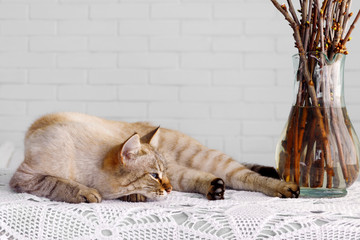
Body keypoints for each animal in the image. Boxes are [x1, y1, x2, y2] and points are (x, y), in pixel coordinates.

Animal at [9, 112, 300, 202]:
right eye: (154, 176)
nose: (168, 188)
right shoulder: (26, 177)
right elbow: (58, 182)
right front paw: (88, 193)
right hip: (187, 173)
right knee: (206, 178)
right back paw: (215, 189)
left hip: (201, 163)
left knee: (246, 176)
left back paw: (287, 188)